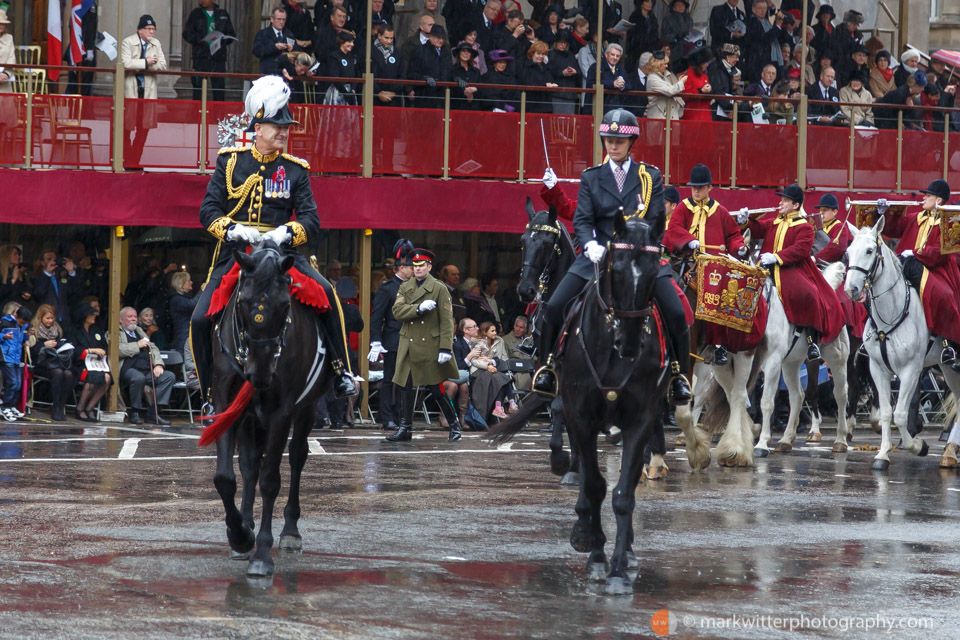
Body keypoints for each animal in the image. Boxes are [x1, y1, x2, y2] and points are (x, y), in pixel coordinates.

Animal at [201, 242, 332, 576]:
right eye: (243, 302)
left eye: (286, 306)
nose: (259, 374)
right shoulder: (225, 405)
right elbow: (226, 477)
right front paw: (240, 535)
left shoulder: (281, 412)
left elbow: (271, 480)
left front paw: (261, 553)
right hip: (249, 416)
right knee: (249, 465)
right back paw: (244, 527)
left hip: (306, 409)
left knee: (297, 457)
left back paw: (290, 531)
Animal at [496, 211, 676, 596]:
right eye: (523, 241)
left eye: (548, 244)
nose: (526, 290)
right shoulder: (568, 394)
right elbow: (590, 478)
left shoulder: (638, 414)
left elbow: (622, 492)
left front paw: (618, 566)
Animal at [752, 262, 852, 458]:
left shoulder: (772, 362)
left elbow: (766, 401)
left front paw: (761, 443)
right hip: (791, 363)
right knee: (798, 395)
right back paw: (785, 440)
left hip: (836, 359)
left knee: (841, 394)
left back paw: (840, 440)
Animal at [840, 218, 960, 468]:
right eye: (848, 253)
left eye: (869, 251)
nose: (851, 289)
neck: (892, 312)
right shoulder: (878, 368)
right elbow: (888, 412)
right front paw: (883, 454)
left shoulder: (911, 370)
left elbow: (901, 414)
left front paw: (917, 446)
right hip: (947, 368)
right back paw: (950, 451)